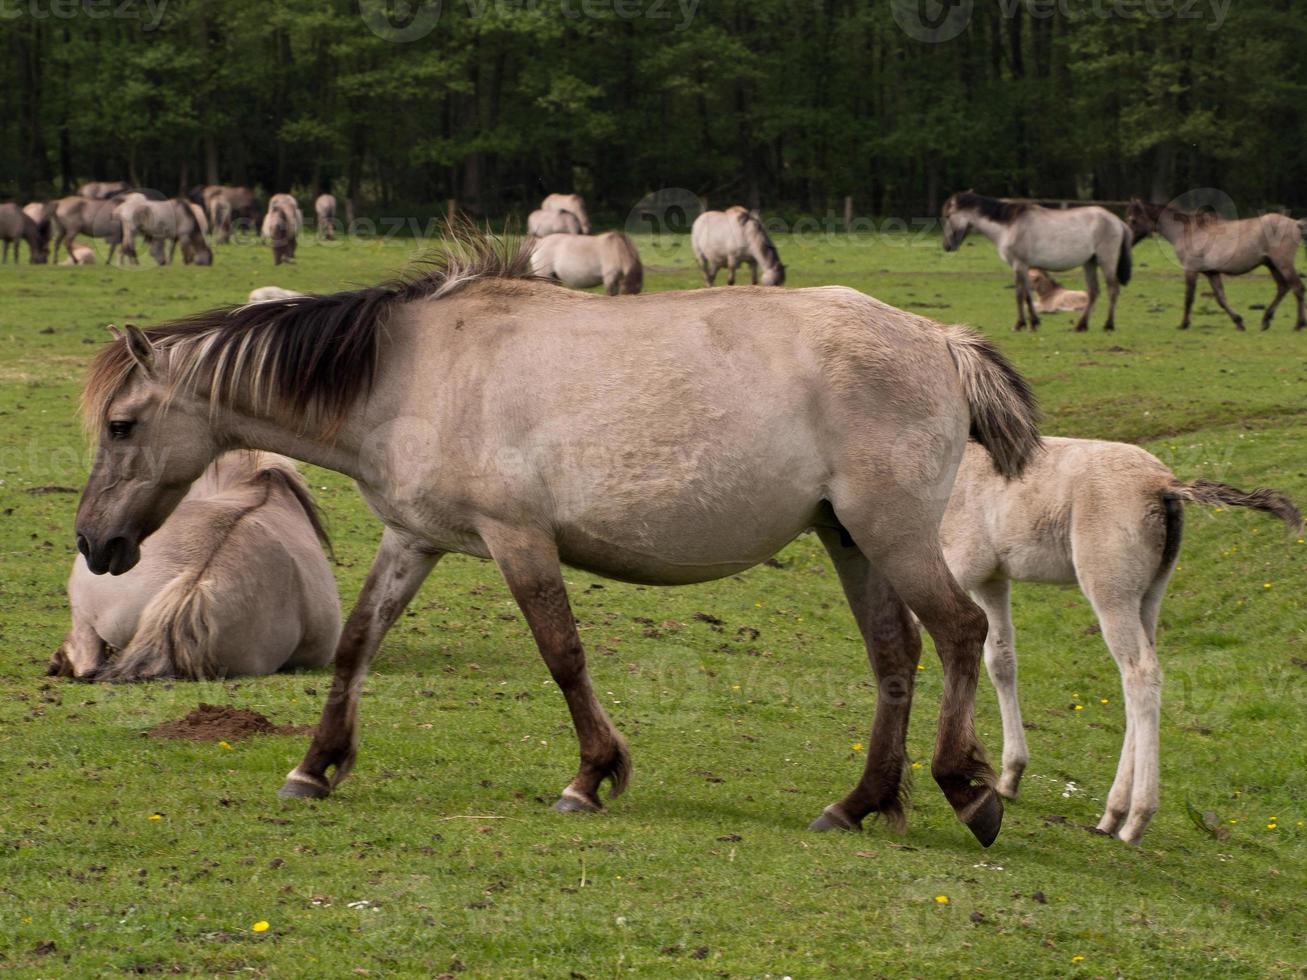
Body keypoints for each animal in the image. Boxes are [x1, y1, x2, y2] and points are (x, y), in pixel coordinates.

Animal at [941, 193, 1134, 334]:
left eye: (948, 216)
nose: (946, 246)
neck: (1010, 226)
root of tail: (1117, 221)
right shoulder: (1023, 266)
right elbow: (1027, 294)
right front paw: (1033, 322)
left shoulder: (1019, 264)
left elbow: (1020, 294)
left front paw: (1020, 324)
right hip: (1089, 263)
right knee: (1094, 291)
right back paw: (1081, 326)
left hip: (1106, 261)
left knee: (1113, 290)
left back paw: (1108, 325)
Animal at [941, 436, 1296, 846]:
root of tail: (1164, 485)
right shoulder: (991, 578)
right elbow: (1000, 660)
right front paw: (1010, 776)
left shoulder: (960, 564)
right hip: (1147, 597)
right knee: (1138, 677)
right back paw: (1113, 816)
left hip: (1110, 591)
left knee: (1140, 672)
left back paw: (1134, 818)